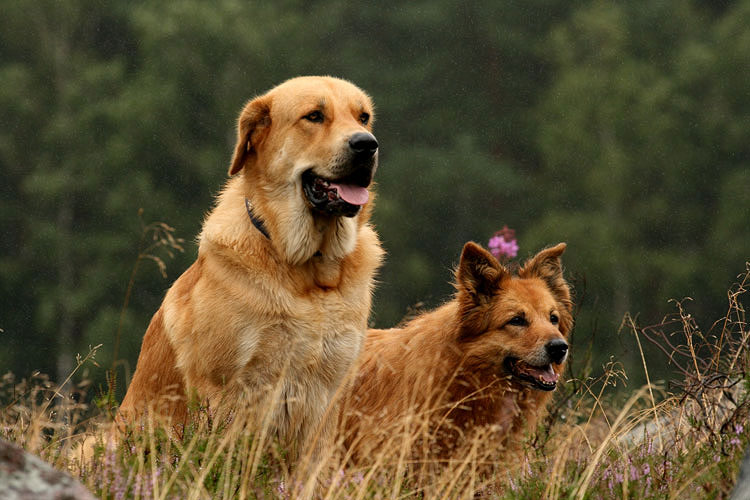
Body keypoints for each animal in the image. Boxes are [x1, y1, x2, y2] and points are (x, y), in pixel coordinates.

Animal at [122, 76, 388, 456]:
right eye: (314, 116)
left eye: (363, 117)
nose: (366, 144)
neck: (309, 269)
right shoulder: (226, 389)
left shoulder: (328, 394)